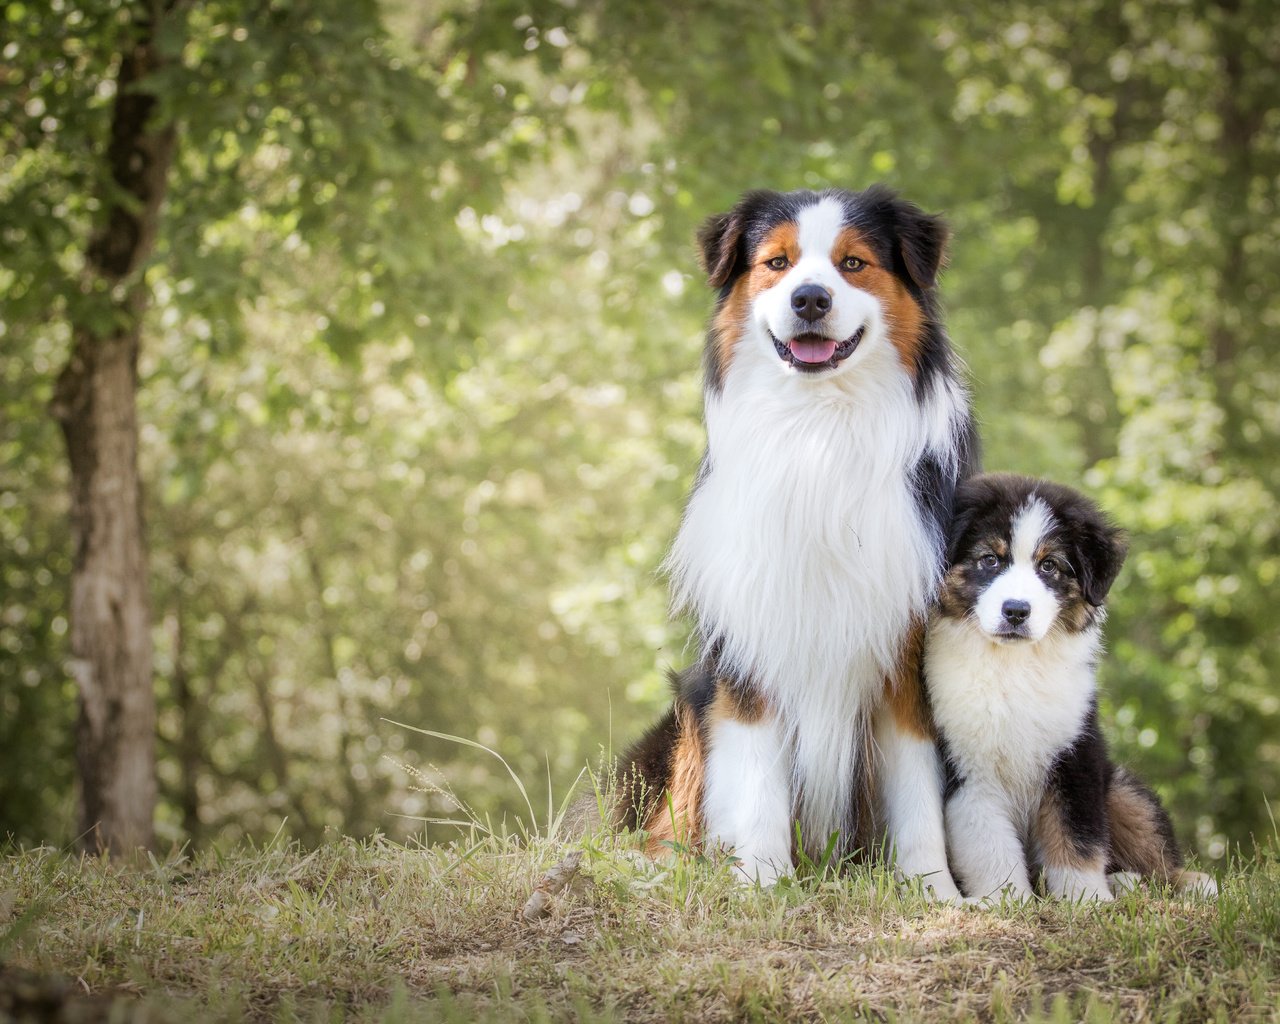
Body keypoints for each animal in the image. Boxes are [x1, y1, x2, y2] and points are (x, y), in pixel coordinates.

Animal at [614, 185, 972, 896]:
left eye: (853, 264)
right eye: (777, 263)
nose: (810, 299)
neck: (817, 428)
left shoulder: (905, 649)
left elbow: (917, 791)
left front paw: (934, 892)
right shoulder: (750, 640)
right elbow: (756, 780)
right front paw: (761, 880)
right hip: (690, 699)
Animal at [926, 476, 1213, 901]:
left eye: (1050, 565)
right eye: (990, 559)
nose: (1016, 611)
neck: (1013, 666)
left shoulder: (1075, 751)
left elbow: (1075, 834)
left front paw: (1087, 899)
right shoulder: (967, 768)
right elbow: (989, 843)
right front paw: (1007, 899)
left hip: (1121, 788)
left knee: (1155, 848)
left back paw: (1181, 883)